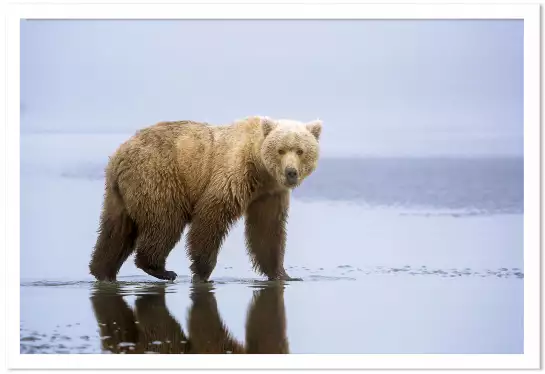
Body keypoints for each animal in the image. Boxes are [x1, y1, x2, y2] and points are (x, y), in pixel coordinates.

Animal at [87, 115, 320, 282]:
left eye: (300, 150)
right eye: (281, 150)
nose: (291, 172)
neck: (260, 169)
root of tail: (119, 154)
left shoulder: (269, 194)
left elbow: (268, 231)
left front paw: (284, 274)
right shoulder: (234, 174)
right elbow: (211, 217)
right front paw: (202, 272)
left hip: (119, 193)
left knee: (115, 230)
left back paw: (102, 271)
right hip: (158, 177)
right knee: (165, 222)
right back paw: (160, 269)